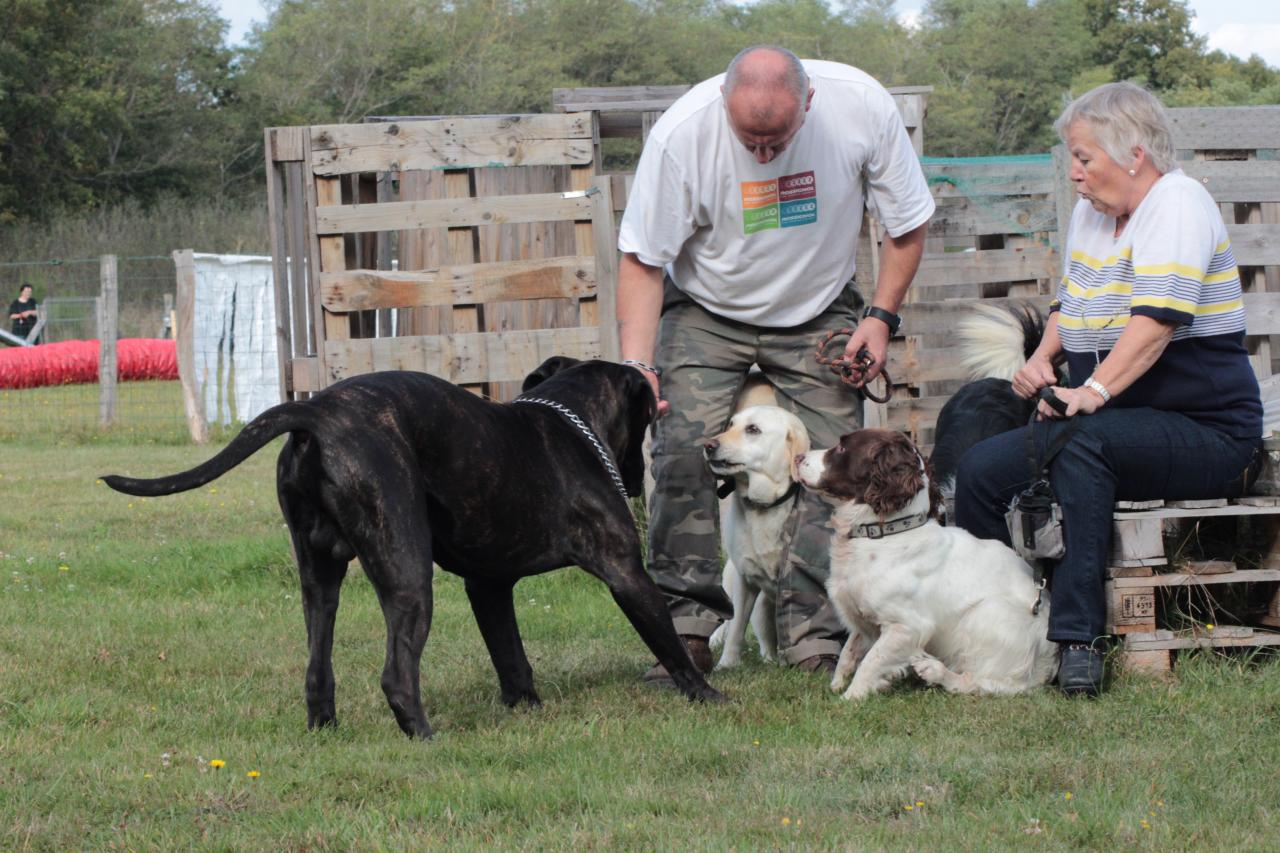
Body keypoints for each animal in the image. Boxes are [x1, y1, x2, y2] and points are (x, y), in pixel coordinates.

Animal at [104, 356, 727, 732]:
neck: (569, 420)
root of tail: (318, 413)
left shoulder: (488, 587)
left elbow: (511, 656)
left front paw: (525, 710)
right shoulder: (626, 573)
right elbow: (669, 644)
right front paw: (710, 698)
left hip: (319, 580)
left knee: (317, 667)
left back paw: (326, 729)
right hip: (406, 575)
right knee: (397, 675)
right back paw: (425, 736)